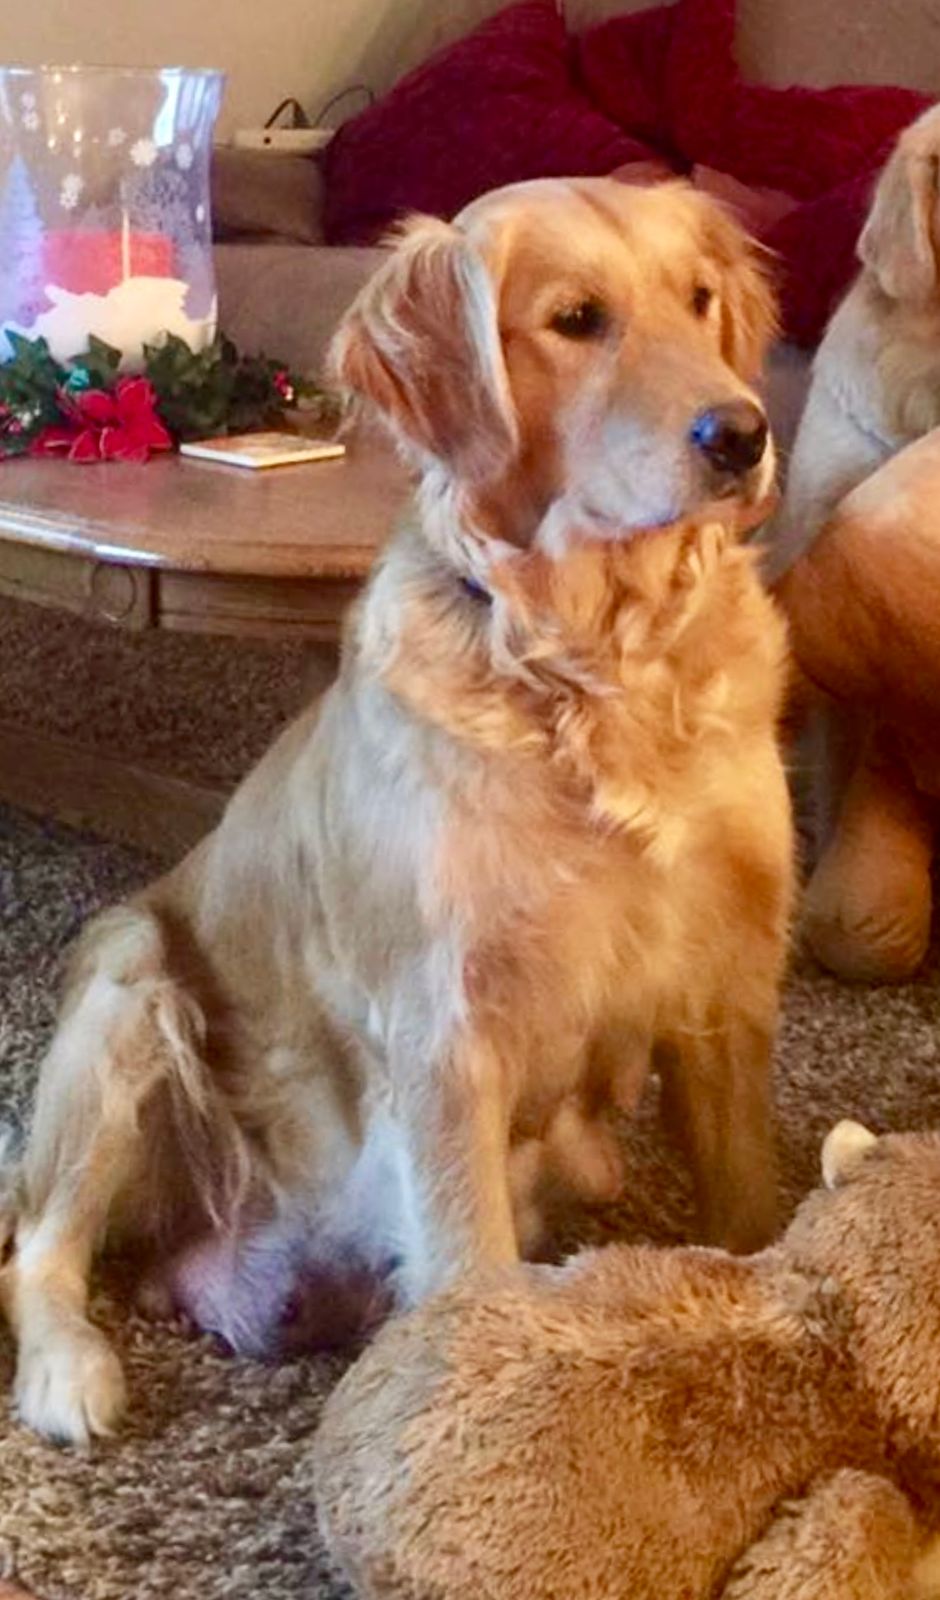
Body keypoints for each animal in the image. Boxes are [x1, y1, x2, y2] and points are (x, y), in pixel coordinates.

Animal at [1, 176, 793, 1446]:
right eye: (577, 319)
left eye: (700, 298)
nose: (742, 434)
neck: (595, 665)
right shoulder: (445, 1032)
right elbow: (471, 1264)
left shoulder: (726, 983)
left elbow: (751, 1206)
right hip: (130, 982)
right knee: (37, 1245)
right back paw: (70, 1371)